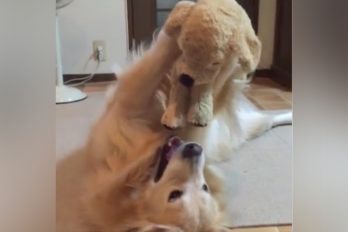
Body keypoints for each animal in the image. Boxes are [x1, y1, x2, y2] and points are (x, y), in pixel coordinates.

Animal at [56, 26, 290, 230]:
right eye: (174, 195)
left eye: (204, 187)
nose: (194, 149)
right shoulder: (131, 106)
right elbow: (158, 69)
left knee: (269, 116)